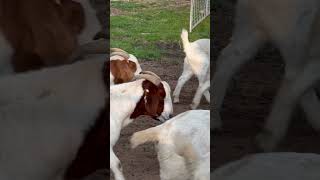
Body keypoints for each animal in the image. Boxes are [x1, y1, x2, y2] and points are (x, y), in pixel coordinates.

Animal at [212, 0, 320, 150]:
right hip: (293, 27)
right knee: (293, 76)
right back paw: (270, 136)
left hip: (254, 24)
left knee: (228, 58)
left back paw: (213, 117)